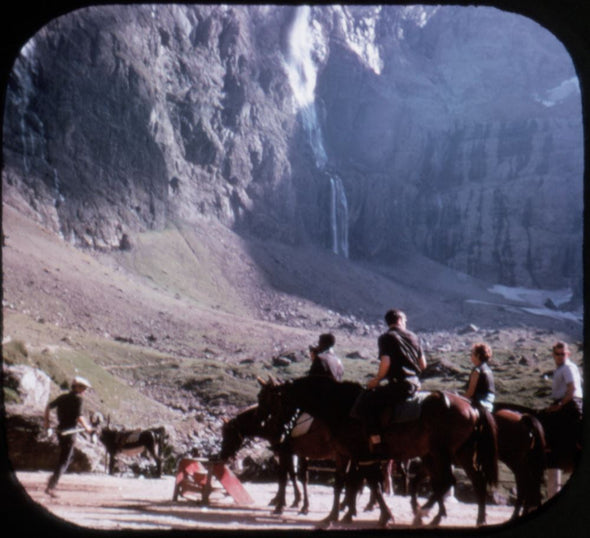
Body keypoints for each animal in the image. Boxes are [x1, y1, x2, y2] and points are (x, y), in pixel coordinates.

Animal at [256, 372, 498, 524]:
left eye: (268, 400)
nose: (273, 431)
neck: (342, 406)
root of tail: (471, 406)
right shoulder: (346, 454)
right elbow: (345, 484)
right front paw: (335, 515)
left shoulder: (359, 454)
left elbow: (366, 483)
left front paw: (379, 514)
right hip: (460, 453)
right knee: (474, 480)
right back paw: (478, 517)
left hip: (442, 453)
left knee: (446, 482)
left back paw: (426, 513)